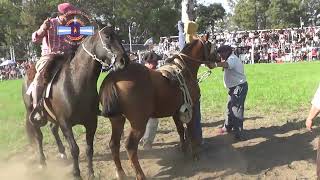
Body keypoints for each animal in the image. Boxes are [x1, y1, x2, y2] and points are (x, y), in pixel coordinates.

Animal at [21, 26, 130, 179]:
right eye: (107, 36)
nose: (124, 60)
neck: (74, 83)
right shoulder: (65, 123)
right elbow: (74, 149)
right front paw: (76, 173)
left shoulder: (91, 122)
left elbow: (89, 148)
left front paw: (91, 173)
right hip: (34, 115)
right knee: (39, 136)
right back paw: (42, 162)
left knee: (53, 129)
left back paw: (62, 153)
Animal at [99, 34, 218, 179]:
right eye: (211, 45)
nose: (218, 58)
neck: (184, 70)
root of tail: (113, 77)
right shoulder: (192, 107)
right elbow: (191, 131)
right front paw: (195, 154)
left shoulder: (176, 111)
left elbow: (180, 130)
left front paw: (183, 149)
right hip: (138, 123)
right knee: (130, 147)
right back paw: (140, 174)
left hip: (117, 120)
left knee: (114, 144)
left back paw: (121, 172)